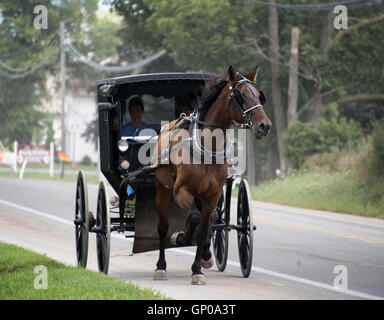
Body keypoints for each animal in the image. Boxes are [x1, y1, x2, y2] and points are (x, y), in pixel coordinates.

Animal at [152, 65, 270, 284]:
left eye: (259, 95)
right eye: (240, 95)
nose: (264, 125)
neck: (207, 148)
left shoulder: (211, 195)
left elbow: (205, 227)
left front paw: (198, 269)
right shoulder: (181, 191)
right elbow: (195, 219)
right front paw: (180, 238)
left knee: (210, 220)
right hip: (162, 190)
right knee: (163, 226)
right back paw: (161, 266)